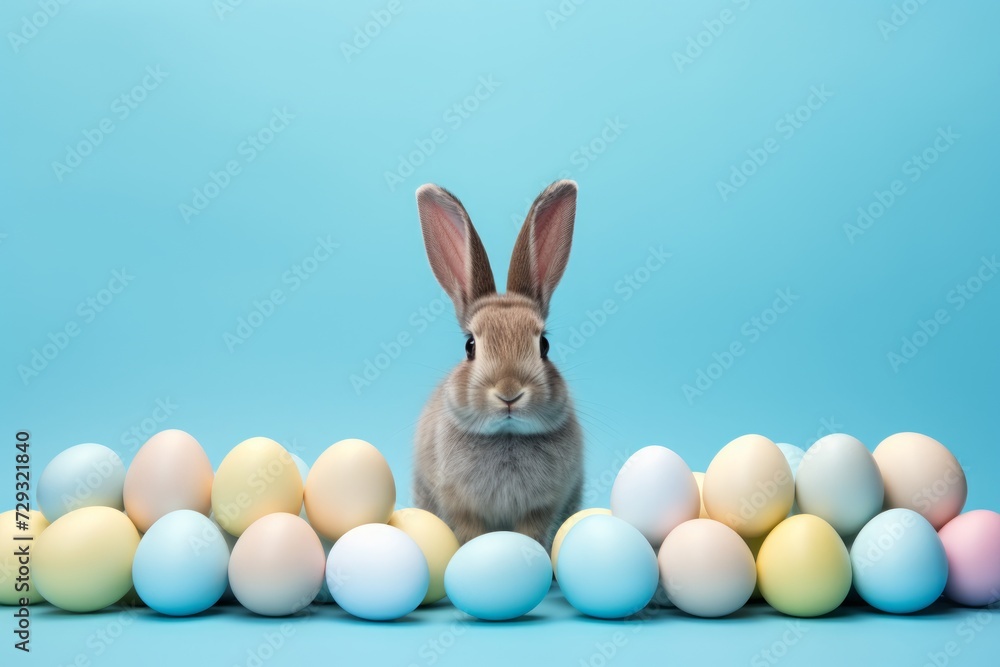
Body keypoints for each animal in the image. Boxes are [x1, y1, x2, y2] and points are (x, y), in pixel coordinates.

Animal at [414, 177, 584, 548]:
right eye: (470, 346)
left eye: (544, 345)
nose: (509, 393)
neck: (507, 435)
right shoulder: (461, 507)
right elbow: (471, 533)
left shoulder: (542, 509)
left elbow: (532, 533)